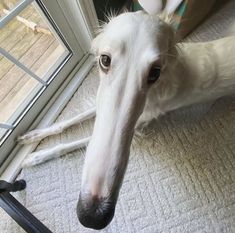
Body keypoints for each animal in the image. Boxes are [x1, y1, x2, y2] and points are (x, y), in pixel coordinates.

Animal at [18, 0, 235, 229]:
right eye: (104, 60)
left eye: (155, 72)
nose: (93, 215)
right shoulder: (102, 102)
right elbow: (70, 121)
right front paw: (33, 138)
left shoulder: (139, 123)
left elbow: (76, 141)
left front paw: (35, 156)